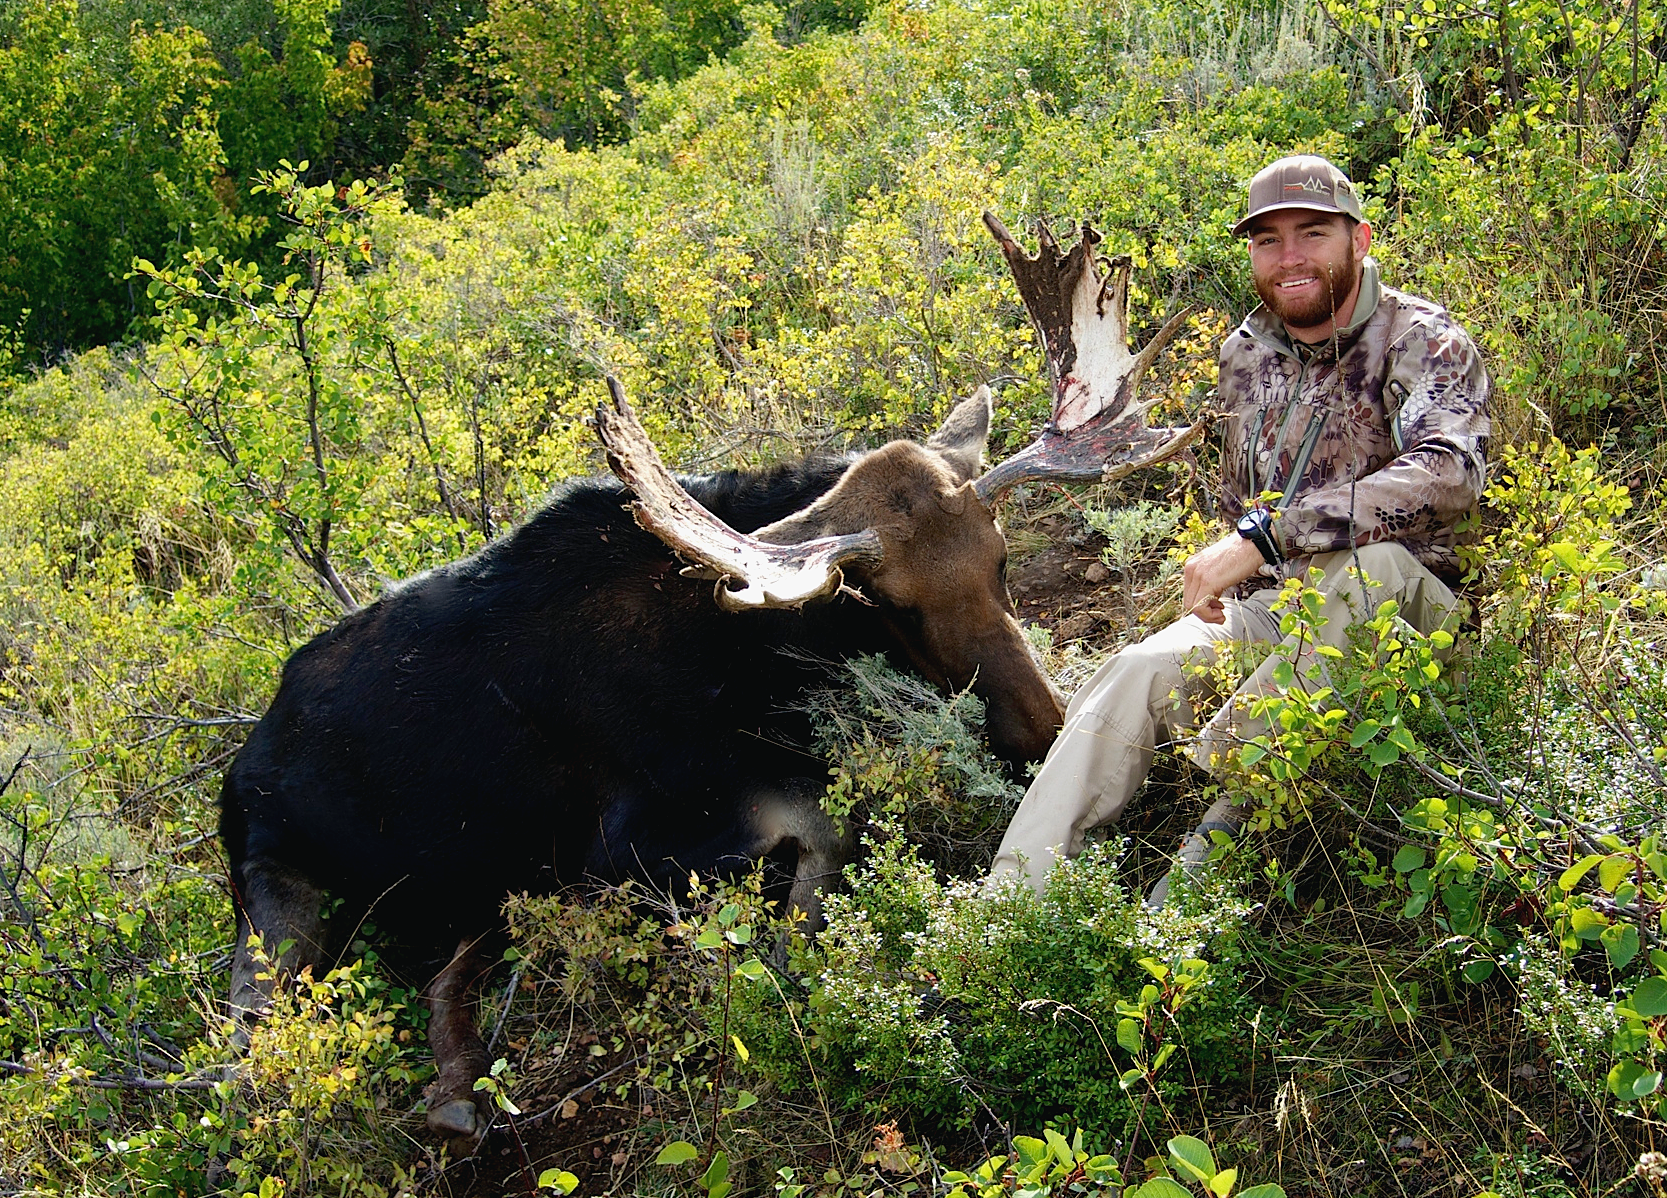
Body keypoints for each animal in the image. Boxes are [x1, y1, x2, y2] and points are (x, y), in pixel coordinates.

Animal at [221, 214, 1200, 1146]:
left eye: (1000, 559)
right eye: (888, 601)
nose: (1040, 727)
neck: (767, 657)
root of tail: (243, 764)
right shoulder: (626, 842)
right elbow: (822, 841)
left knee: (450, 962)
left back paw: (457, 1091)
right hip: (276, 894)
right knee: (248, 1054)